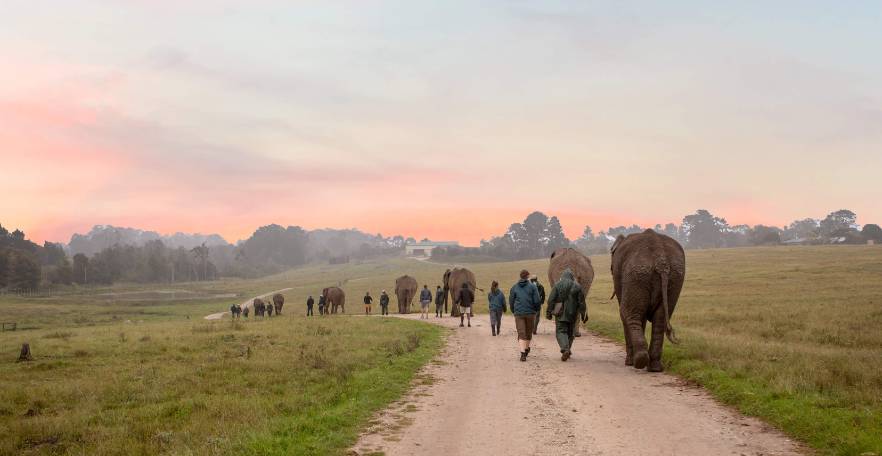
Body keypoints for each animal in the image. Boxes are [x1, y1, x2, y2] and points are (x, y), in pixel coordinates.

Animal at [608, 230, 684, 372]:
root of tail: (661, 260)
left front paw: (629, 363)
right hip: (675, 276)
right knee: (660, 320)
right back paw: (654, 367)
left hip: (636, 274)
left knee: (629, 314)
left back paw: (638, 362)